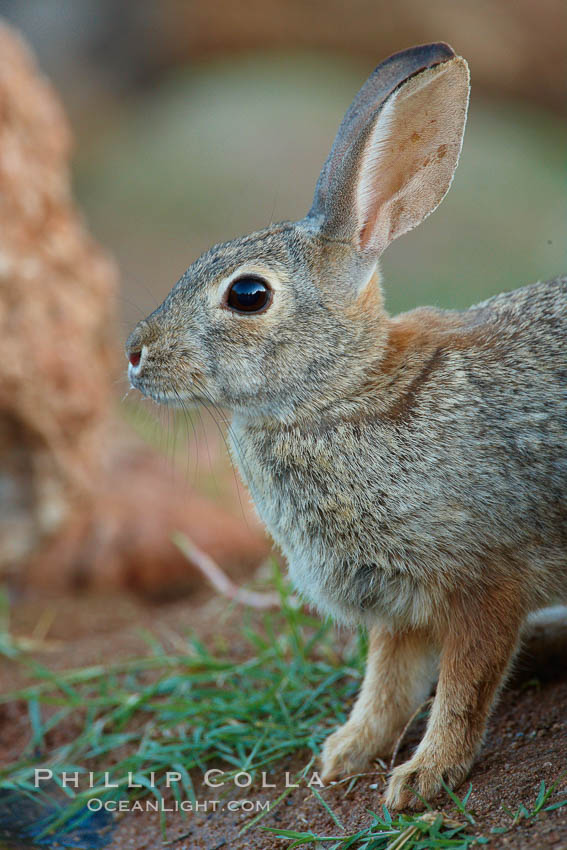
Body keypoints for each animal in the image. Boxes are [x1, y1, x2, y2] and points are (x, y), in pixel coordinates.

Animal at [125, 44, 567, 808]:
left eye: (248, 294)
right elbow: (385, 683)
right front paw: (344, 755)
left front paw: (423, 778)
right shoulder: (398, 607)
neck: (341, 396)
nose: (134, 355)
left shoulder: (485, 581)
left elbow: (464, 686)